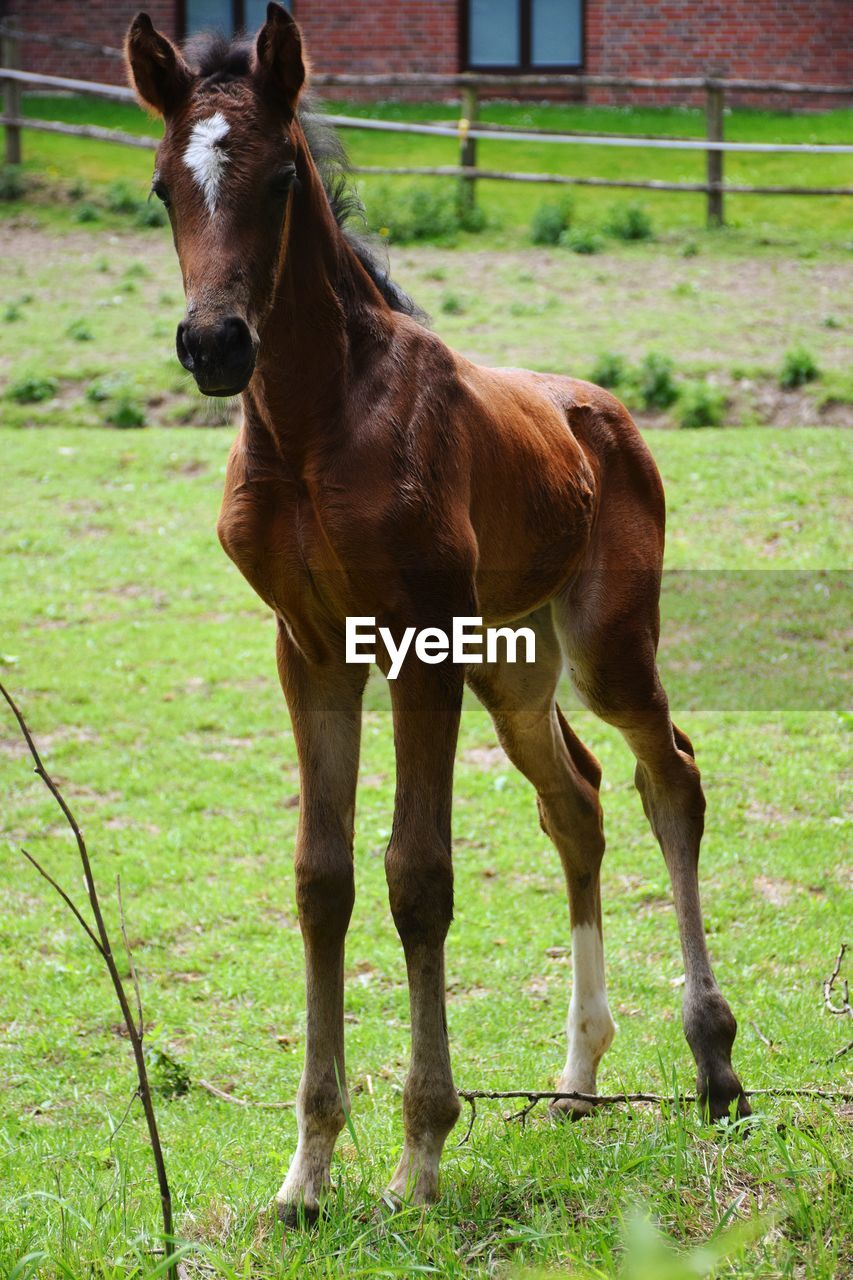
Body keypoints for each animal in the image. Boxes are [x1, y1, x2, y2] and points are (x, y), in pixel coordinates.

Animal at [126, 0, 742, 1218]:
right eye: (166, 185)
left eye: (280, 180)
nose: (215, 345)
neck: (314, 426)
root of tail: (605, 412)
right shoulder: (311, 648)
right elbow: (321, 879)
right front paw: (307, 1171)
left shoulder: (416, 645)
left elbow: (418, 877)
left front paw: (418, 1156)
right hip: (511, 665)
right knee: (577, 803)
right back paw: (576, 1078)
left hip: (603, 647)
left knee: (669, 777)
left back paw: (713, 1062)